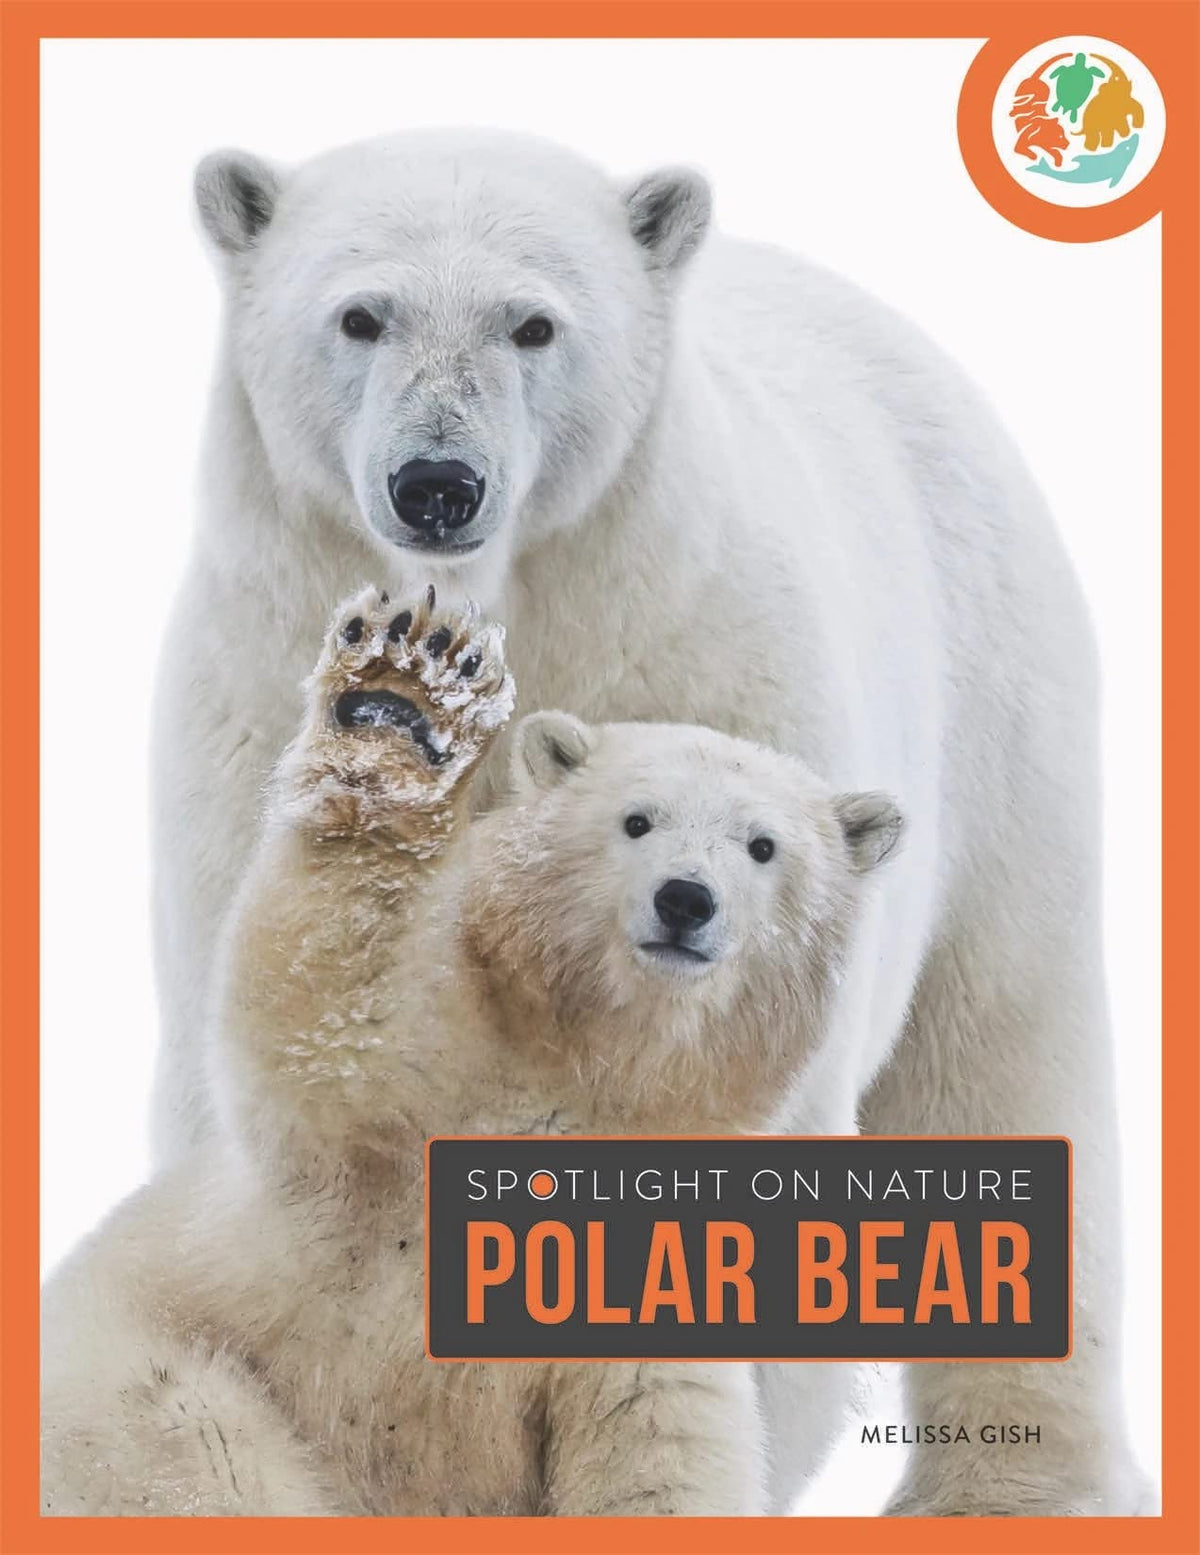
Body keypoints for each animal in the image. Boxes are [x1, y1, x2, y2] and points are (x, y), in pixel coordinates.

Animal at [42, 587, 903, 1516]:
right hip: (140, 1365)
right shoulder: (424, 1104)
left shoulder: (658, 1273)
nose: (685, 899)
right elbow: (336, 1020)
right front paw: (408, 699)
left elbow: (659, 1449)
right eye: (637, 820)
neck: (591, 1073)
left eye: (762, 844)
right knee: (204, 1452)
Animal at [145, 130, 1147, 1514]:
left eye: (533, 323)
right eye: (360, 313)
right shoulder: (252, 707)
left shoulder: (712, 679)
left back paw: (1014, 1486)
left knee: (1004, 1052)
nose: (438, 484)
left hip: (1002, 714)